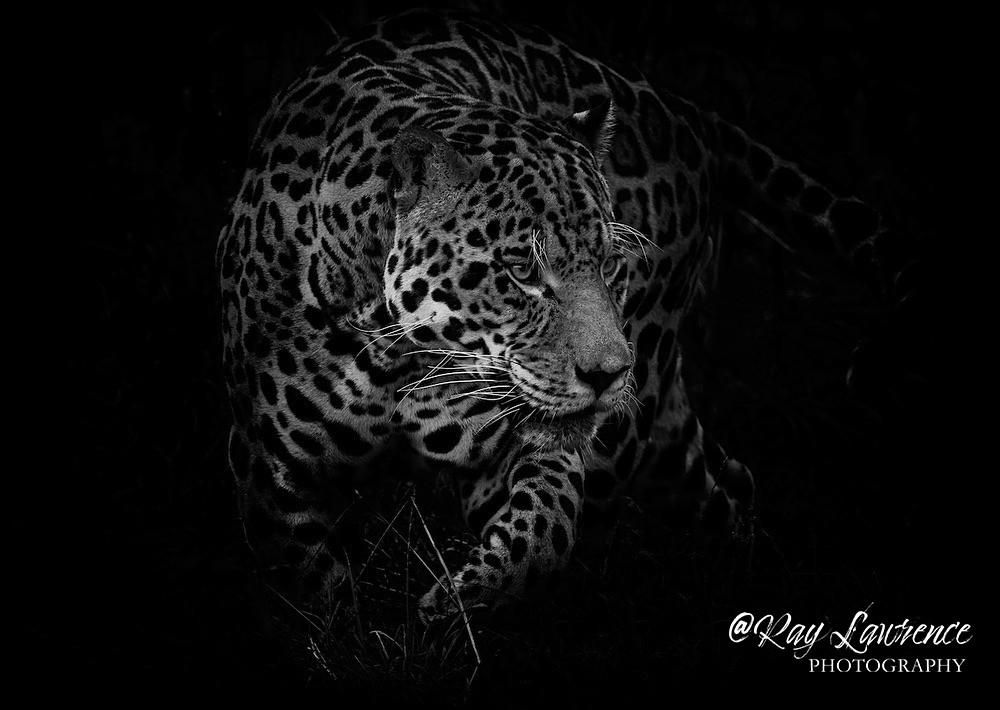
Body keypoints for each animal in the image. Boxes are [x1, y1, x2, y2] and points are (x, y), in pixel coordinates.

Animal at [217, 9, 907, 620]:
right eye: (522, 271)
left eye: (609, 264)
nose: (607, 374)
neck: (395, 354)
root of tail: (685, 111)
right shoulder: (271, 474)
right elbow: (314, 596)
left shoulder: (523, 445)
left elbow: (540, 534)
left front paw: (457, 609)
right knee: (730, 482)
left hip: (632, 424)